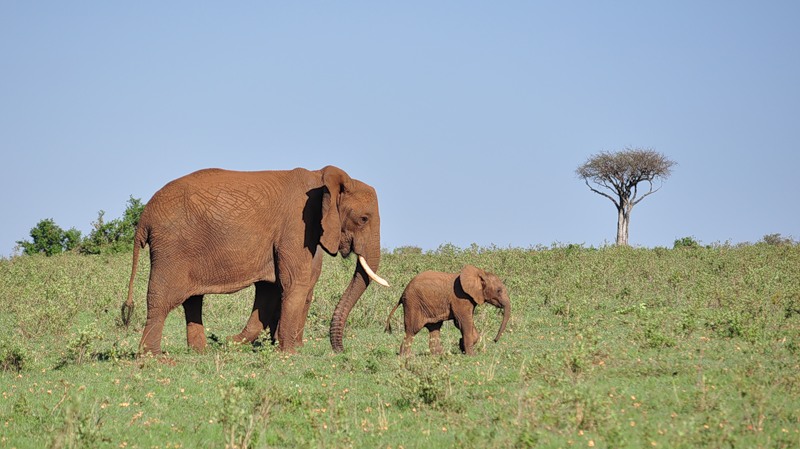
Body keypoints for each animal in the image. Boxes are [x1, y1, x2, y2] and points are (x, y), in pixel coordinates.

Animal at [122, 165, 389, 355]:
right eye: (364, 219)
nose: (340, 351)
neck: (320, 178)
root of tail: (144, 216)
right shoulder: (295, 224)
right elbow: (296, 283)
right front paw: (289, 353)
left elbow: (276, 287)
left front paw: (285, 347)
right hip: (172, 246)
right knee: (162, 299)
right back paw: (155, 357)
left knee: (192, 300)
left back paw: (200, 352)